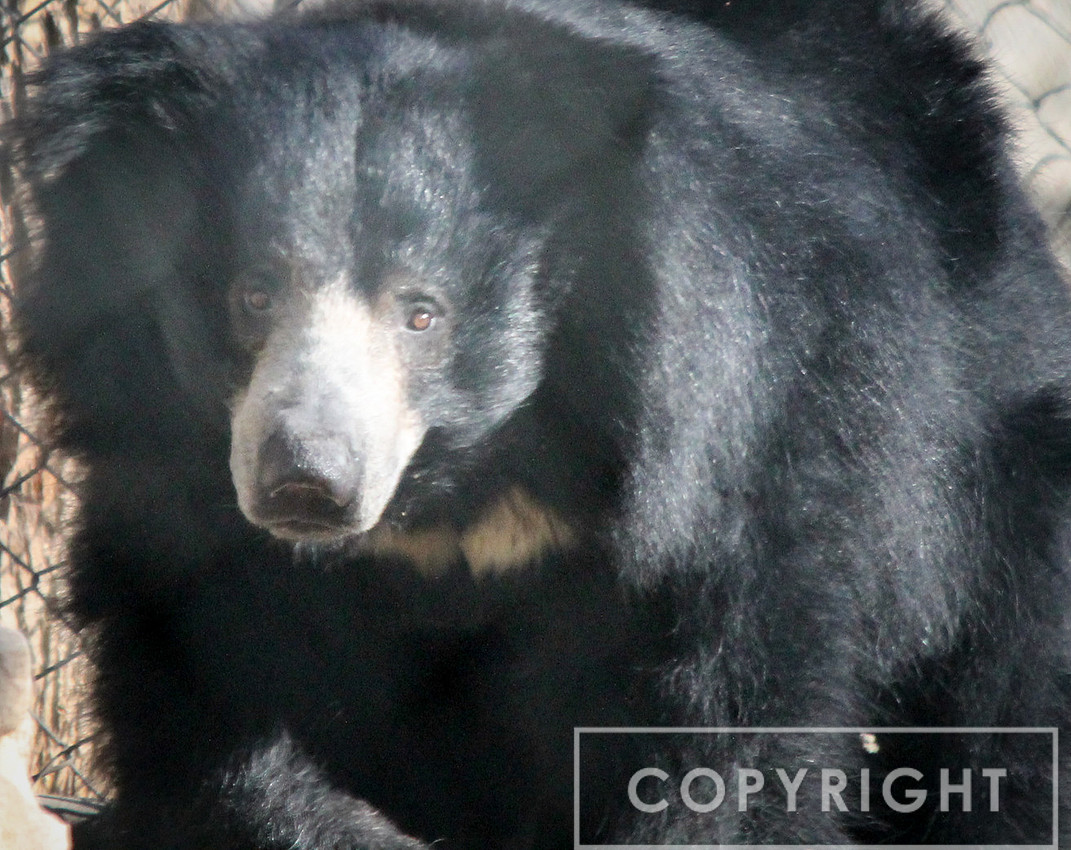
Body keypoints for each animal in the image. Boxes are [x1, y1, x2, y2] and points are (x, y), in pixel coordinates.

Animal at [9, 0, 1071, 846]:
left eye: (421, 313)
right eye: (254, 293)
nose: (305, 478)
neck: (464, 480)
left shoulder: (735, 455)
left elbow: (724, 731)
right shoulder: (179, 498)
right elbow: (216, 698)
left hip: (994, 446)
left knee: (1012, 702)